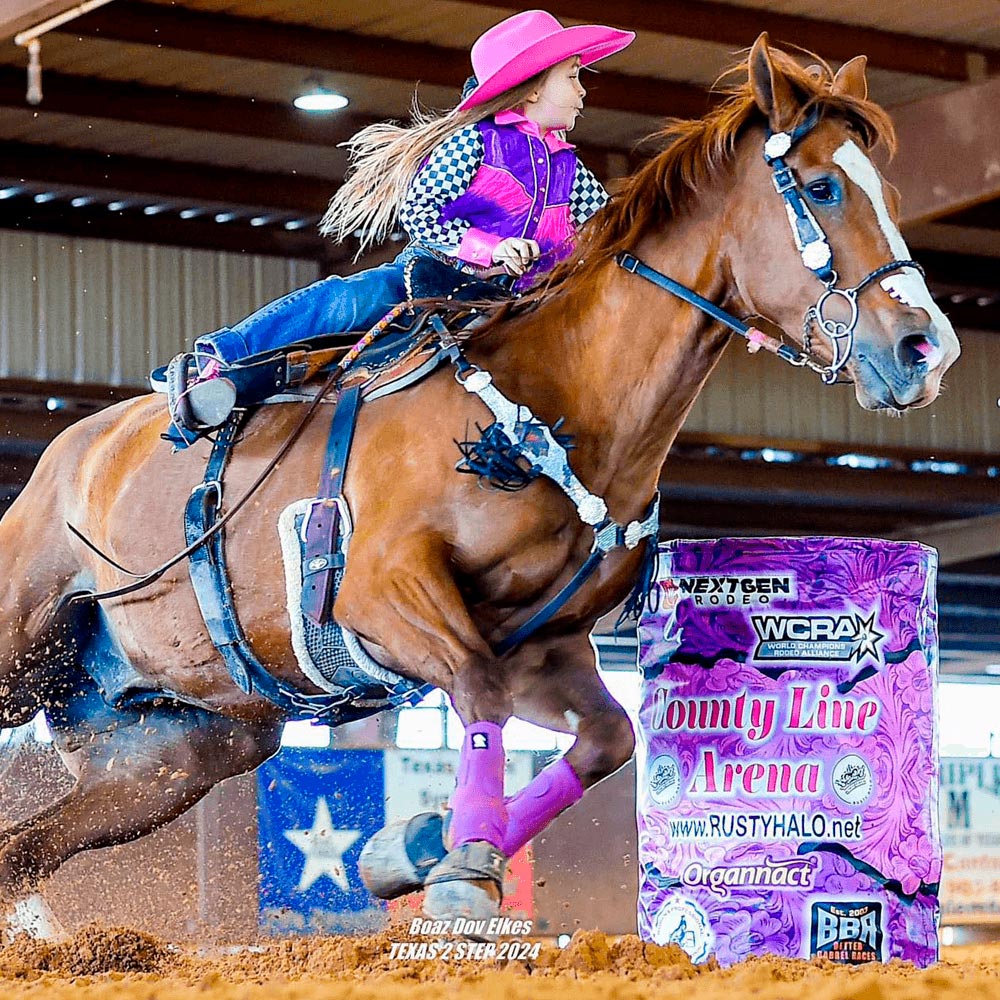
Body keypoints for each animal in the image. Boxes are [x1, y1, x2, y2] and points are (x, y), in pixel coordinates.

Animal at [0, 35, 960, 932]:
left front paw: (417, 847)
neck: (562, 398)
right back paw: (205, 379)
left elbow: (605, 737)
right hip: (27, 654)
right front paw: (457, 865)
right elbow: (475, 690)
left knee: (26, 850)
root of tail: (69, 455)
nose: (926, 350)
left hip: (177, 751)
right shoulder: (384, 594)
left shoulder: (543, 643)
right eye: (824, 188)